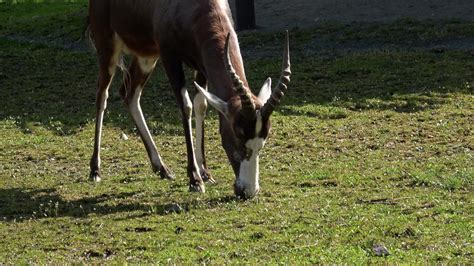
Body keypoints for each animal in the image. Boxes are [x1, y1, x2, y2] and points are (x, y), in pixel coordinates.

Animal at [87, 0, 290, 198]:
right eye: (238, 135)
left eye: (263, 140)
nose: (248, 191)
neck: (195, 6)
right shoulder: (170, 57)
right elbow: (186, 106)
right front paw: (195, 180)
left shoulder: (201, 66)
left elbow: (201, 105)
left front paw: (205, 173)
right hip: (107, 47)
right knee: (102, 96)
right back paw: (95, 170)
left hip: (147, 55)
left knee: (129, 94)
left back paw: (162, 168)